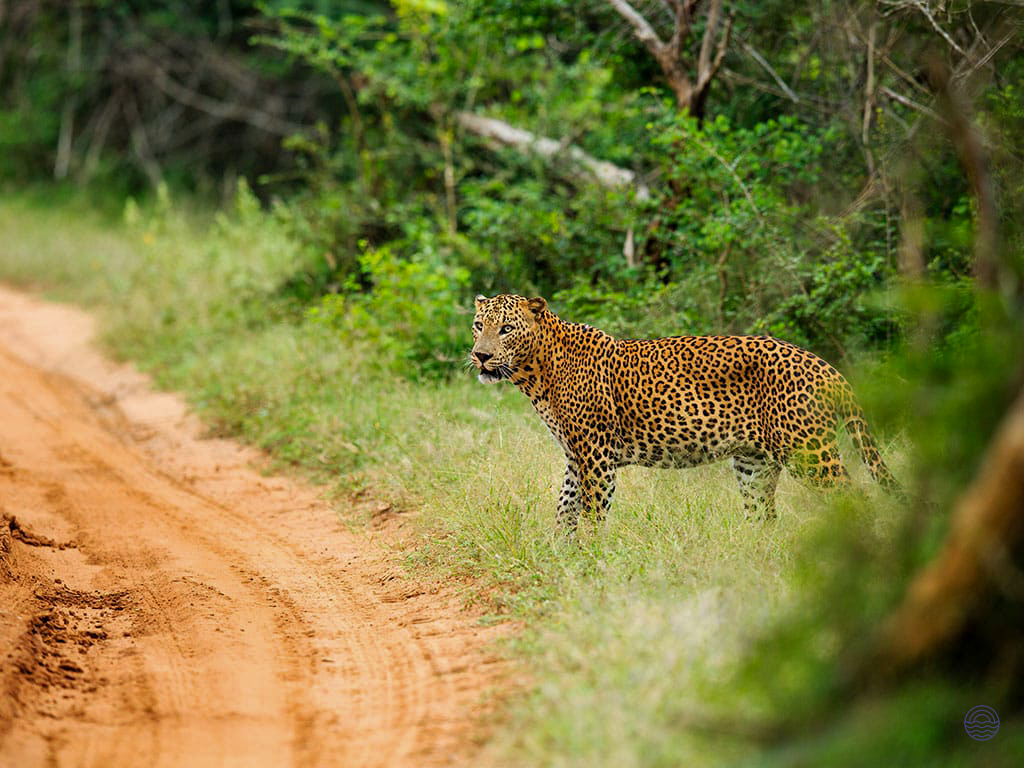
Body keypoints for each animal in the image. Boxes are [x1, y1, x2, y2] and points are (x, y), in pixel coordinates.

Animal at [470, 293, 900, 530]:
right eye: (478, 325)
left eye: (506, 328)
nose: (480, 356)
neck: (536, 371)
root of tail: (825, 366)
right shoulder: (575, 456)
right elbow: (565, 508)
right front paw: (561, 556)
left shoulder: (596, 454)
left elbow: (592, 512)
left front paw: (592, 561)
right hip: (754, 462)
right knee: (763, 516)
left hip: (808, 452)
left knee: (854, 499)